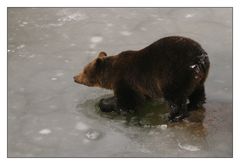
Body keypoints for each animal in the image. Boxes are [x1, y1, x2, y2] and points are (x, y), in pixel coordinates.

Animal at [73, 36, 210, 121]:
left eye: (84, 70)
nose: (74, 77)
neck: (111, 74)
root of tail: (199, 58)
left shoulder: (125, 80)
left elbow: (127, 101)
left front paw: (107, 104)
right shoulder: (142, 85)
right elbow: (142, 98)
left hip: (175, 74)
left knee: (175, 98)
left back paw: (173, 116)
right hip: (198, 78)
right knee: (198, 91)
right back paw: (194, 105)